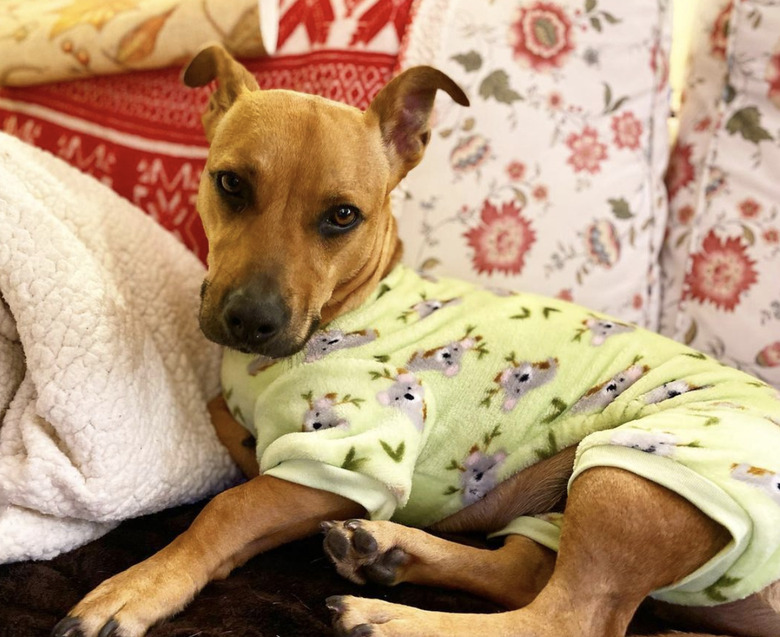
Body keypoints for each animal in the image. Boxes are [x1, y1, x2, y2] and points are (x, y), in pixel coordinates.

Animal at [53, 44, 780, 636]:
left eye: (343, 216)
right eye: (230, 183)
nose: (251, 321)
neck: (350, 305)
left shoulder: (342, 459)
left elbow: (229, 508)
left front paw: (139, 587)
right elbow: (222, 420)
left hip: (631, 475)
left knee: (568, 619)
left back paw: (389, 616)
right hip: (571, 498)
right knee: (522, 570)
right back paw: (388, 552)